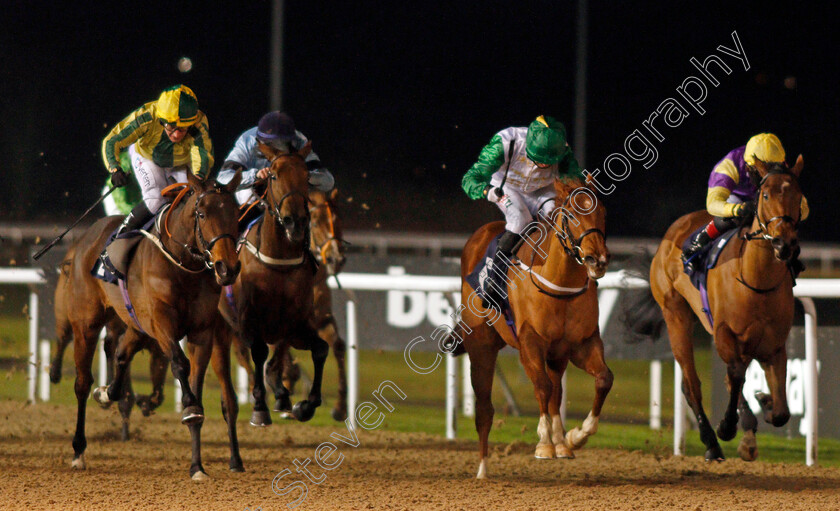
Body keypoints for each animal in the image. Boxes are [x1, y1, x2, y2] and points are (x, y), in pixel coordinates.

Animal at [56, 172, 243, 480]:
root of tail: (86, 238)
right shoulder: (161, 323)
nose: (227, 268)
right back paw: (78, 450)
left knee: (120, 354)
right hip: (86, 323)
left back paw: (107, 393)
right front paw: (189, 407)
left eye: (236, 214)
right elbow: (179, 364)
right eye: (202, 214)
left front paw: (197, 465)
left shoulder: (202, 332)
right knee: (82, 383)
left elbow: (196, 381)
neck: (182, 264)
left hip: (134, 324)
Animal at [220, 147, 328, 428]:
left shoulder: (294, 322)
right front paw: (260, 407)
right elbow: (258, 353)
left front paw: (303, 405)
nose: (295, 222)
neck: (277, 262)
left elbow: (318, 349)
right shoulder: (248, 321)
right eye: (274, 176)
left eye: (306, 177)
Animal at [456, 177, 612, 480]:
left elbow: (603, 379)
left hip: (557, 355)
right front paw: (543, 443)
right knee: (484, 409)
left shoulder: (582, 343)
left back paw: (561, 442)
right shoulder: (530, 342)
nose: (597, 260)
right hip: (481, 346)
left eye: (603, 213)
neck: (559, 286)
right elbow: (541, 385)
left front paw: (575, 436)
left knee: (557, 390)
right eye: (572, 215)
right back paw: (482, 470)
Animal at [648, 155, 804, 460]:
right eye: (765, 195)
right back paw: (711, 442)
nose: (784, 243)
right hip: (675, 313)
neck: (756, 280)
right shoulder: (725, 333)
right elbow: (735, 376)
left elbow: (781, 411)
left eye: (798, 195)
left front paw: (765, 403)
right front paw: (727, 426)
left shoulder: (774, 345)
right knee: (692, 384)